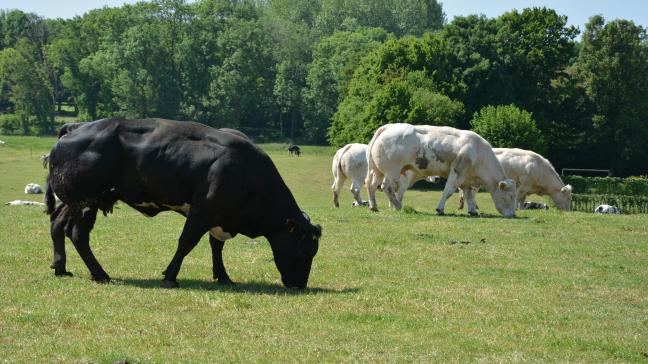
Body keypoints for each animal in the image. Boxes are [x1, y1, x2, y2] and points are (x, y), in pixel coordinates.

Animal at [45, 118, 322, 288]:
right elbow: (186, 243)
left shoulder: (218, 218)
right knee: (78, 235)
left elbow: (216, 246)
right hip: (85, 203)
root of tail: (76, 126)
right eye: (304, 251)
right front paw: (170, 276)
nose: (301, 285)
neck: (246, 171)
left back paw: (61, 267)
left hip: (72, 202)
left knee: (57, 225)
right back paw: (100, 274)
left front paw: (223, 276)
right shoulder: (202, 211)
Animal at [368, 123, 520, 218]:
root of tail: (388, 127)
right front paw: (439, 209)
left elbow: (469, 195)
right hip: (392, 171)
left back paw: (373, 206)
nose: (513, 214)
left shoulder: (466, 178)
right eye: (510, 196)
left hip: (377, 171)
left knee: (372, 186)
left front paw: (472, 211)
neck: (479, 153)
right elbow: (448, 191)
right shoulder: (457, 172)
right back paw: (398, 205)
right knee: (386, 187)